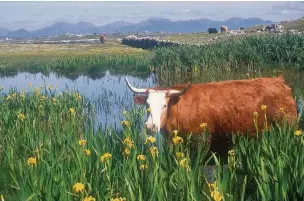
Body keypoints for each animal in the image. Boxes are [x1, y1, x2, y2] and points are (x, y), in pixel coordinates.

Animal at [124, 76, 298, 150]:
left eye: (164, 105)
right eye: (147, 105)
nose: (150, 126)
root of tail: (279, 80)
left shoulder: (202, 140)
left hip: (288, 125)